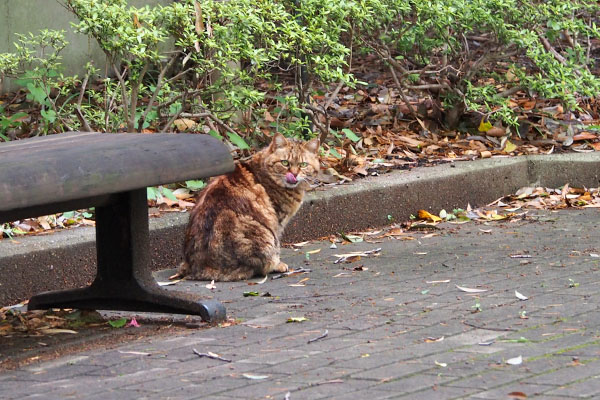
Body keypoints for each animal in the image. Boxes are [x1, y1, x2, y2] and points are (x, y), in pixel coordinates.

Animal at [178, 132, 318, 282]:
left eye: (303, 165)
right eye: (285, 162)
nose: (294, 174)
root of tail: (199, 269)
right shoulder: (278, 221)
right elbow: (278, 244)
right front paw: (279, 263)